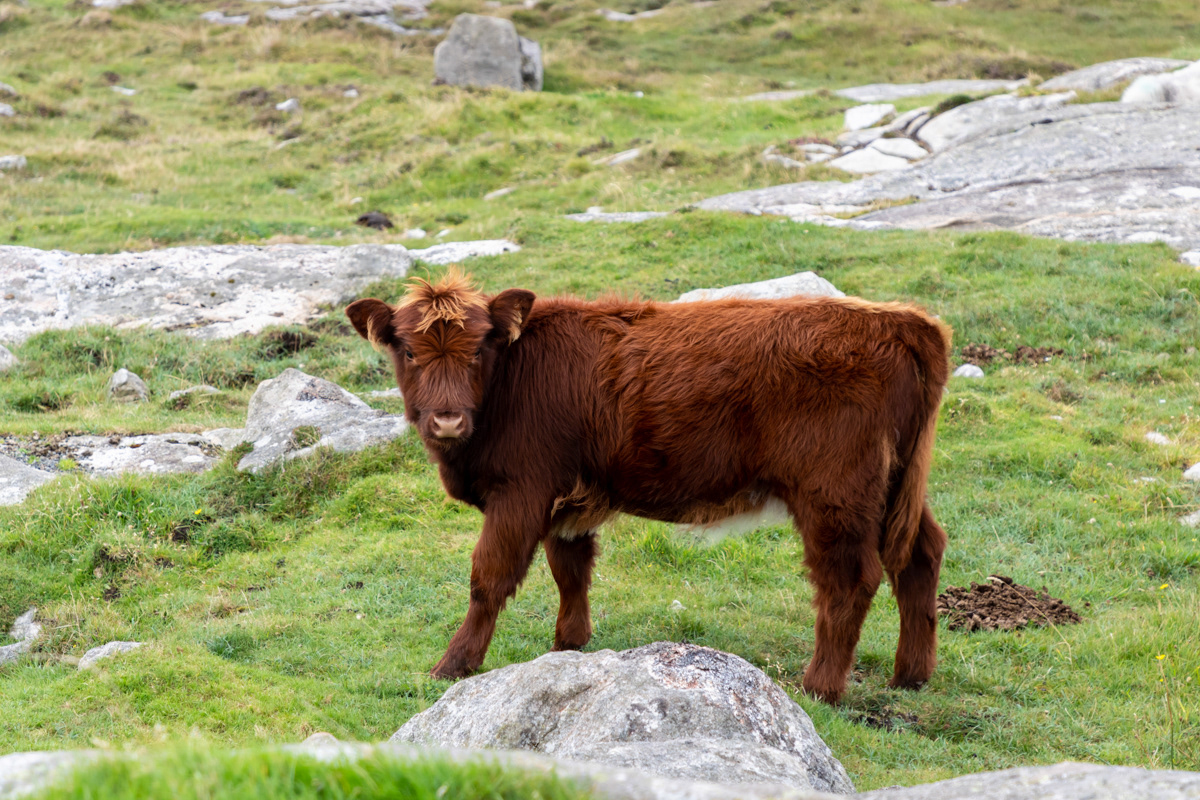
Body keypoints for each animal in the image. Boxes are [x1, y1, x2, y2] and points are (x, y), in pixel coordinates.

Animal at [346, 270, 951, 703]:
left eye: (477, 350)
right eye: (409, 352)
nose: (447, 420)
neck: (513, 377)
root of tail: (899, 320)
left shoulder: (520, 492)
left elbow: (488, 577)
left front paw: (453, 664)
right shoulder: (569, 499)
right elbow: (571, 569)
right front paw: (568, 646)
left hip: (835, 495)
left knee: (849, 580)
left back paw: (820, 686)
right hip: (892, 491)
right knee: (921, 554)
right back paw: (911, 676)